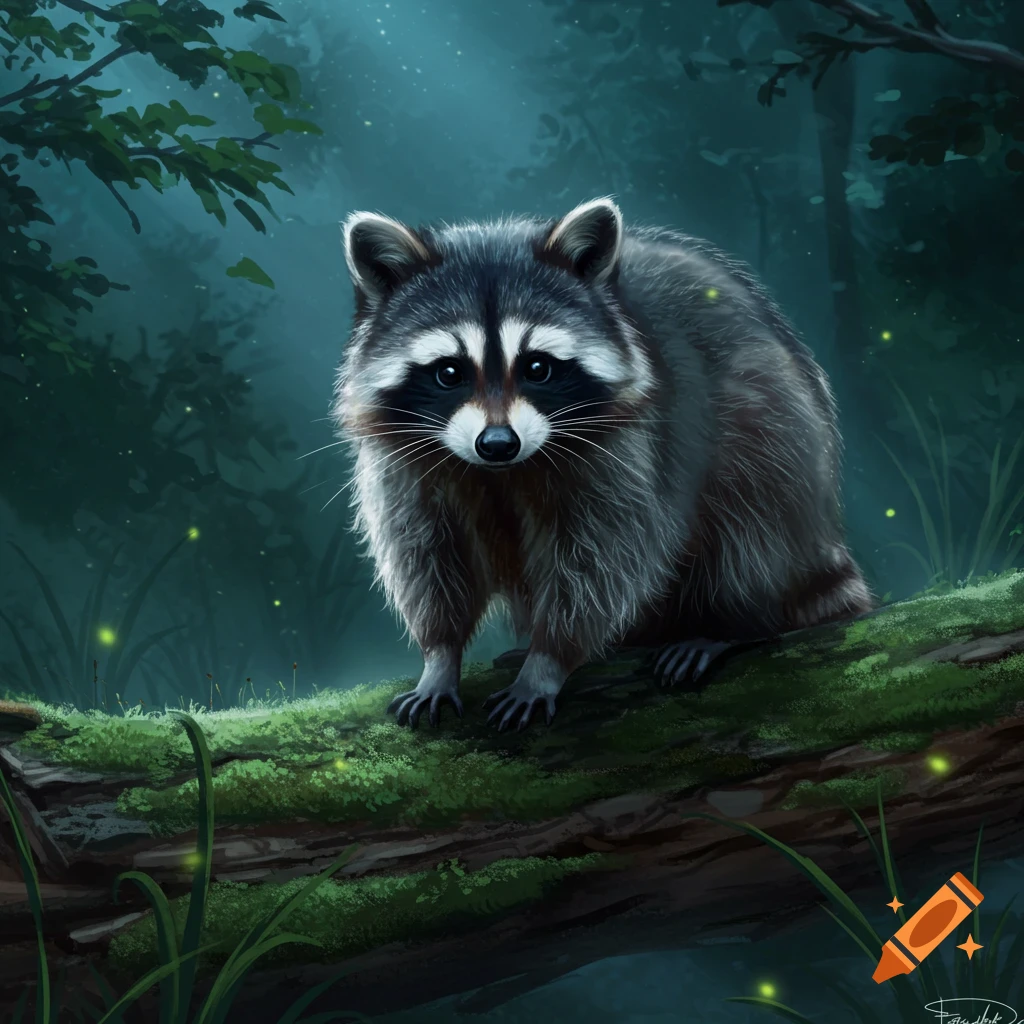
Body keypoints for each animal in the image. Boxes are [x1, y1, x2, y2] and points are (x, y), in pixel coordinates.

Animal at [332, 197, 873, 732]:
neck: (503, 472)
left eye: (537, 367)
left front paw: (547, 664)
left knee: (754, 524)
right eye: (448, 372)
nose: (498, 443)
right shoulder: (407, 462)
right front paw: (440, 658)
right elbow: (430, 557)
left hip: (778, 432)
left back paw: (733, 623)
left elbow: (600, 560)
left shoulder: (627, 446)